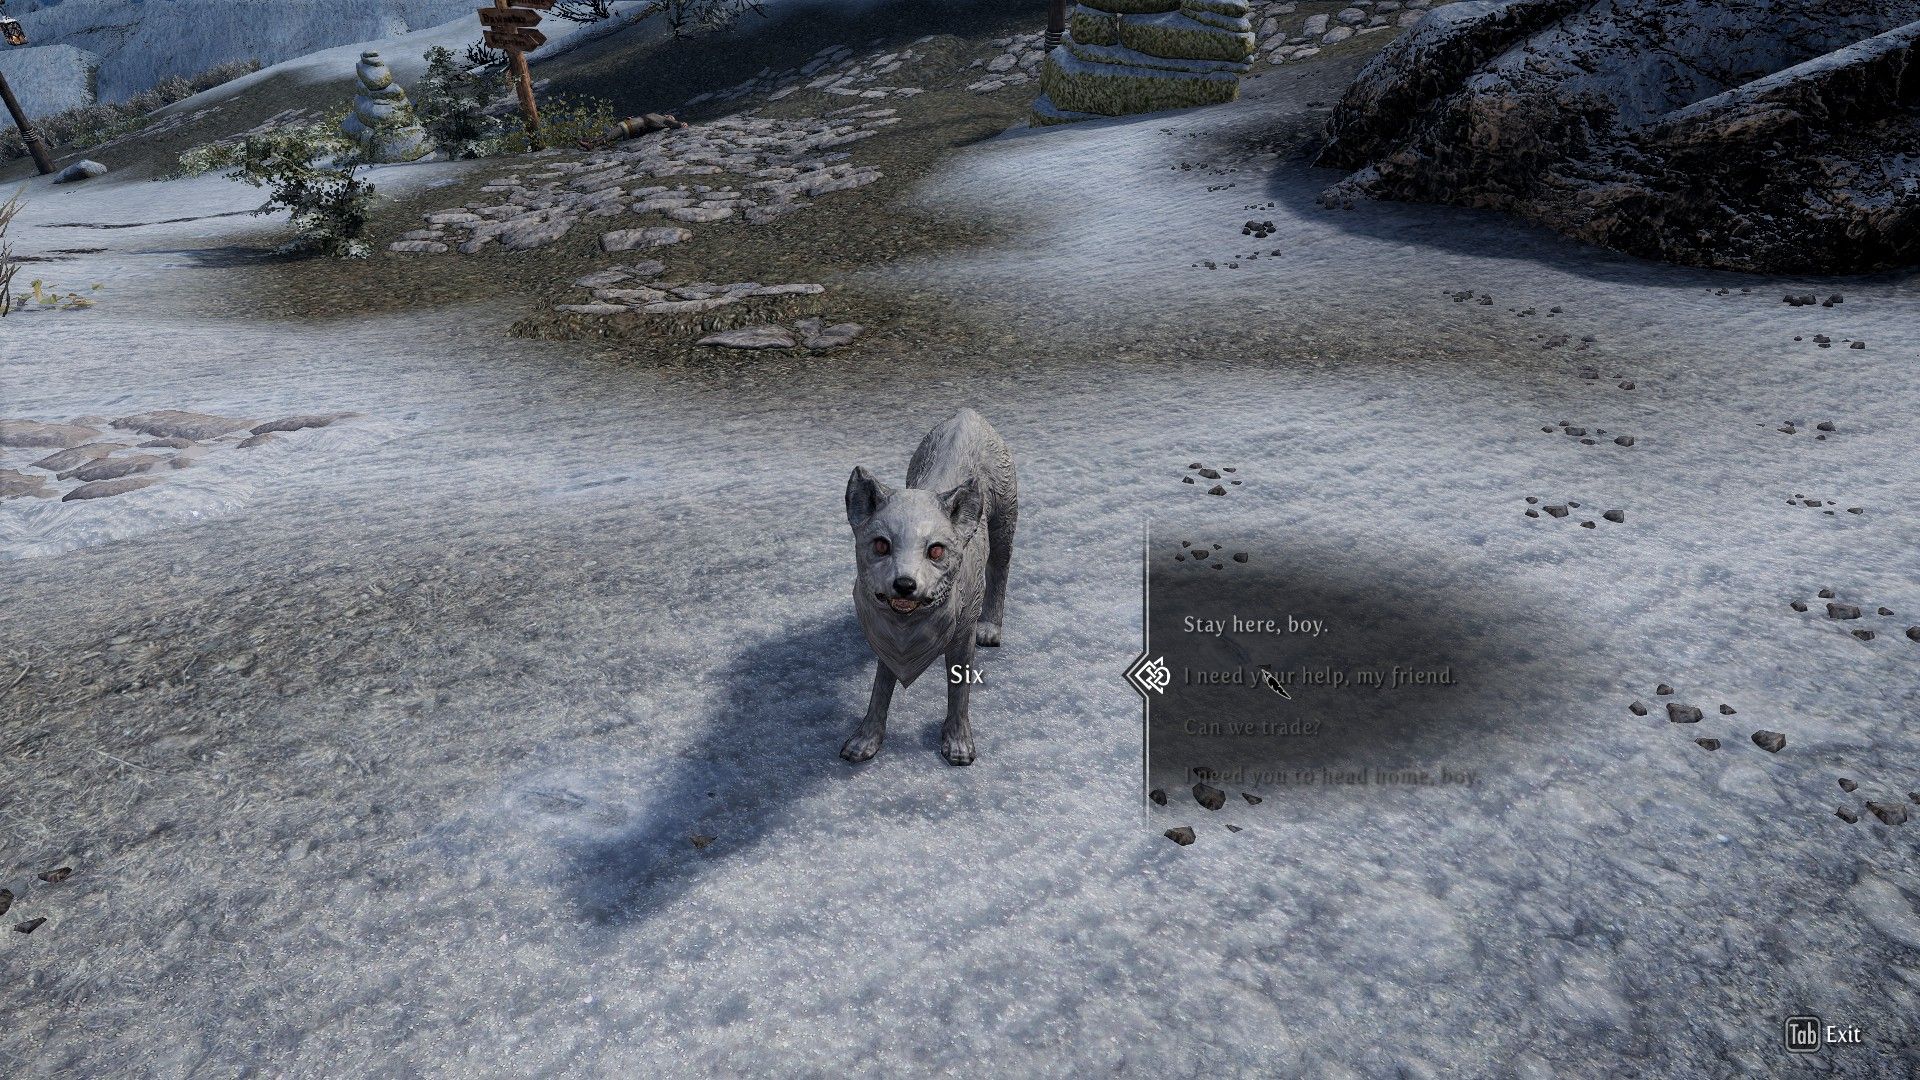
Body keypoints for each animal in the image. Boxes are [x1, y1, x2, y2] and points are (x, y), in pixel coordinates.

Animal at [842, 409, 1018, 766]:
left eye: (936, 551)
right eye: (881, 545)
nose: (905, 584)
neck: (910, 626)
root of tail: (968, 415)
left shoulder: (963, 633)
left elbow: (959, 689)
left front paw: (958, 743)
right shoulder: (886, 641)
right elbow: (881, 687)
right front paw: (866, 740)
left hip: (1004, 525)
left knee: (1001, 570)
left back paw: (992, 627)